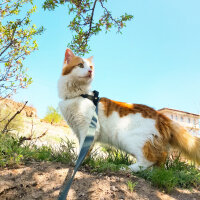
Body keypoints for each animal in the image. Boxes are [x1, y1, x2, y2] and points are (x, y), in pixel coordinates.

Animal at [57, 48, 200, 172]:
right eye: (81, 65)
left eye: (90, 67)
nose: (90, 72)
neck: (78, 95)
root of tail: (161, 115)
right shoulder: (80, 131)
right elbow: (84, 150)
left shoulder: (88, 128)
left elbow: (83, 150)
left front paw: (77, 163)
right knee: (161, 161)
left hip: (130, 138)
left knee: (149, 159)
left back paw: (126, 168)